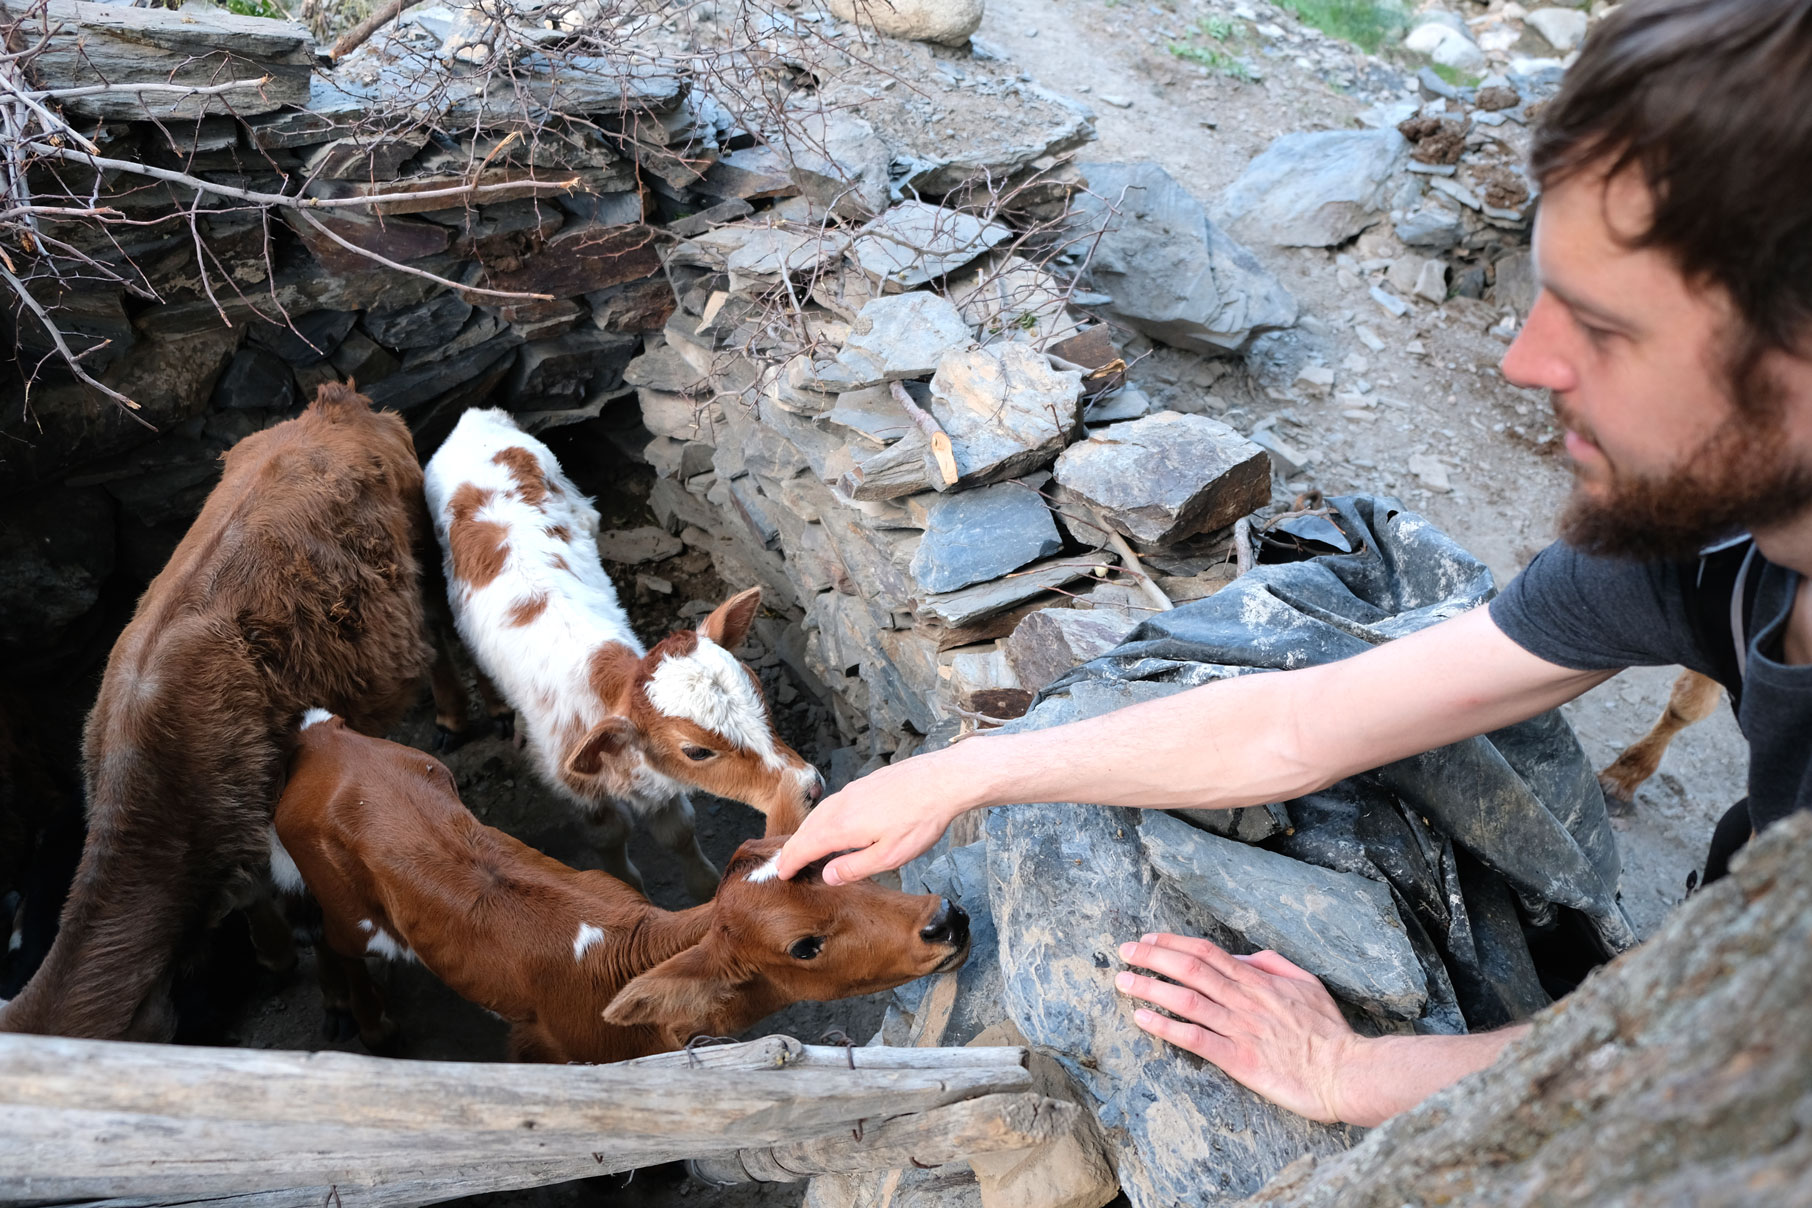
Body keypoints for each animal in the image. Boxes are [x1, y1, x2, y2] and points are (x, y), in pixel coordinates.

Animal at [273, 713, 971, 1064]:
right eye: (803, 946)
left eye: (837, 863)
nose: (946, 920)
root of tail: (323, 735)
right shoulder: (545, 1050)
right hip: (347, 907)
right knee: (332, 940)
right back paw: (365, 1022)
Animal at [424, 405, 822, 898]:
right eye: (696, 752)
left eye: (759, 692)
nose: (809, 787)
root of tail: (477, 417)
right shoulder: (578, 788)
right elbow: (610, 840)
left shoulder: (657, 784)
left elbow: (679, 833)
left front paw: (705, 888)